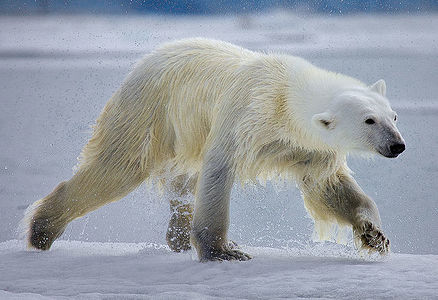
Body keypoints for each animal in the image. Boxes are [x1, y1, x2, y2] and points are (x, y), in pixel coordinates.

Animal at [20, 38, 404, 262]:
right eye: (369, 120)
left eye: (393, 115)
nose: (397, 145)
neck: (285, 94)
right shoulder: (248, 116)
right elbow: (219, 170)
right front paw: (223, 251)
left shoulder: (305, 145)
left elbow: (330, 187)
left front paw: (375, 235)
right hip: (149, 113)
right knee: (116, 169)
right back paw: (42, 231)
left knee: (180, 181)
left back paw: (176, 235)